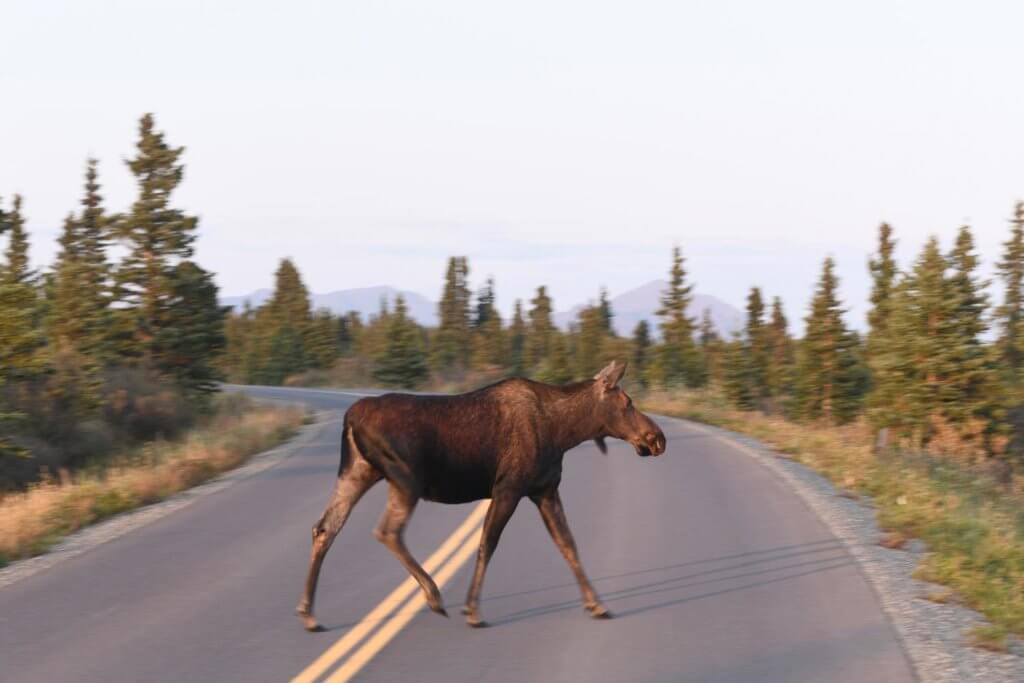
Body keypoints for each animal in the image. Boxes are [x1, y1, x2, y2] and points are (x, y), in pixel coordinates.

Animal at [292, 360, 667, 634]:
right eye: (628, 403)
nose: (657, 438)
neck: (565, 431)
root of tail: (350, 417)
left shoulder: (545, 490)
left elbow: (568, 544)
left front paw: (596, 603)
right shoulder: (509, 488)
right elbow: (488, 543)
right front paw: (472, 609)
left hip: (358, 471)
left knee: (325, 528)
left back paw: (308, 613)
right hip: (405, 479)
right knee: (387, 531)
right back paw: (434, 596)